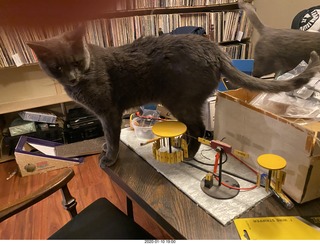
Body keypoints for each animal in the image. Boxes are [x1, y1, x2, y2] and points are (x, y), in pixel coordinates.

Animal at [26, 26, 320, 168]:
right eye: (57, 68)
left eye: (76, 61)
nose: (73, 77)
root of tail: (214, 49)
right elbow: (107, 138)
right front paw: (105, 151)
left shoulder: (108, 112)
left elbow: (112, 137)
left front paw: (109, 158)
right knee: (195, 128)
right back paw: (185, 149)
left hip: (179, 100)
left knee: (199, 128)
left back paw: (188, 154)